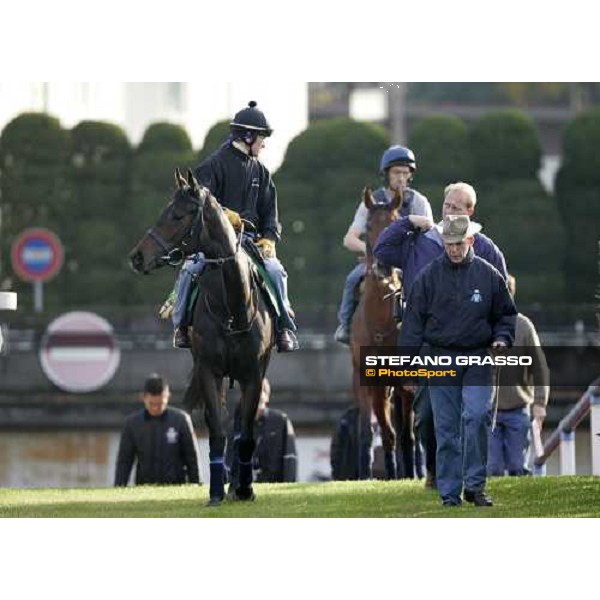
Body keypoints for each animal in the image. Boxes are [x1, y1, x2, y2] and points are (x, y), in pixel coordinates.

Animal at [130, 170, 276, 506]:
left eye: (177, 215)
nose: (137, 257)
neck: (233, 306)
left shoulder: (254, 373)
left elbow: (245, 433)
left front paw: (244, 488)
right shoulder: (209, 370)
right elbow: (217, 430)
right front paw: (216, 492)